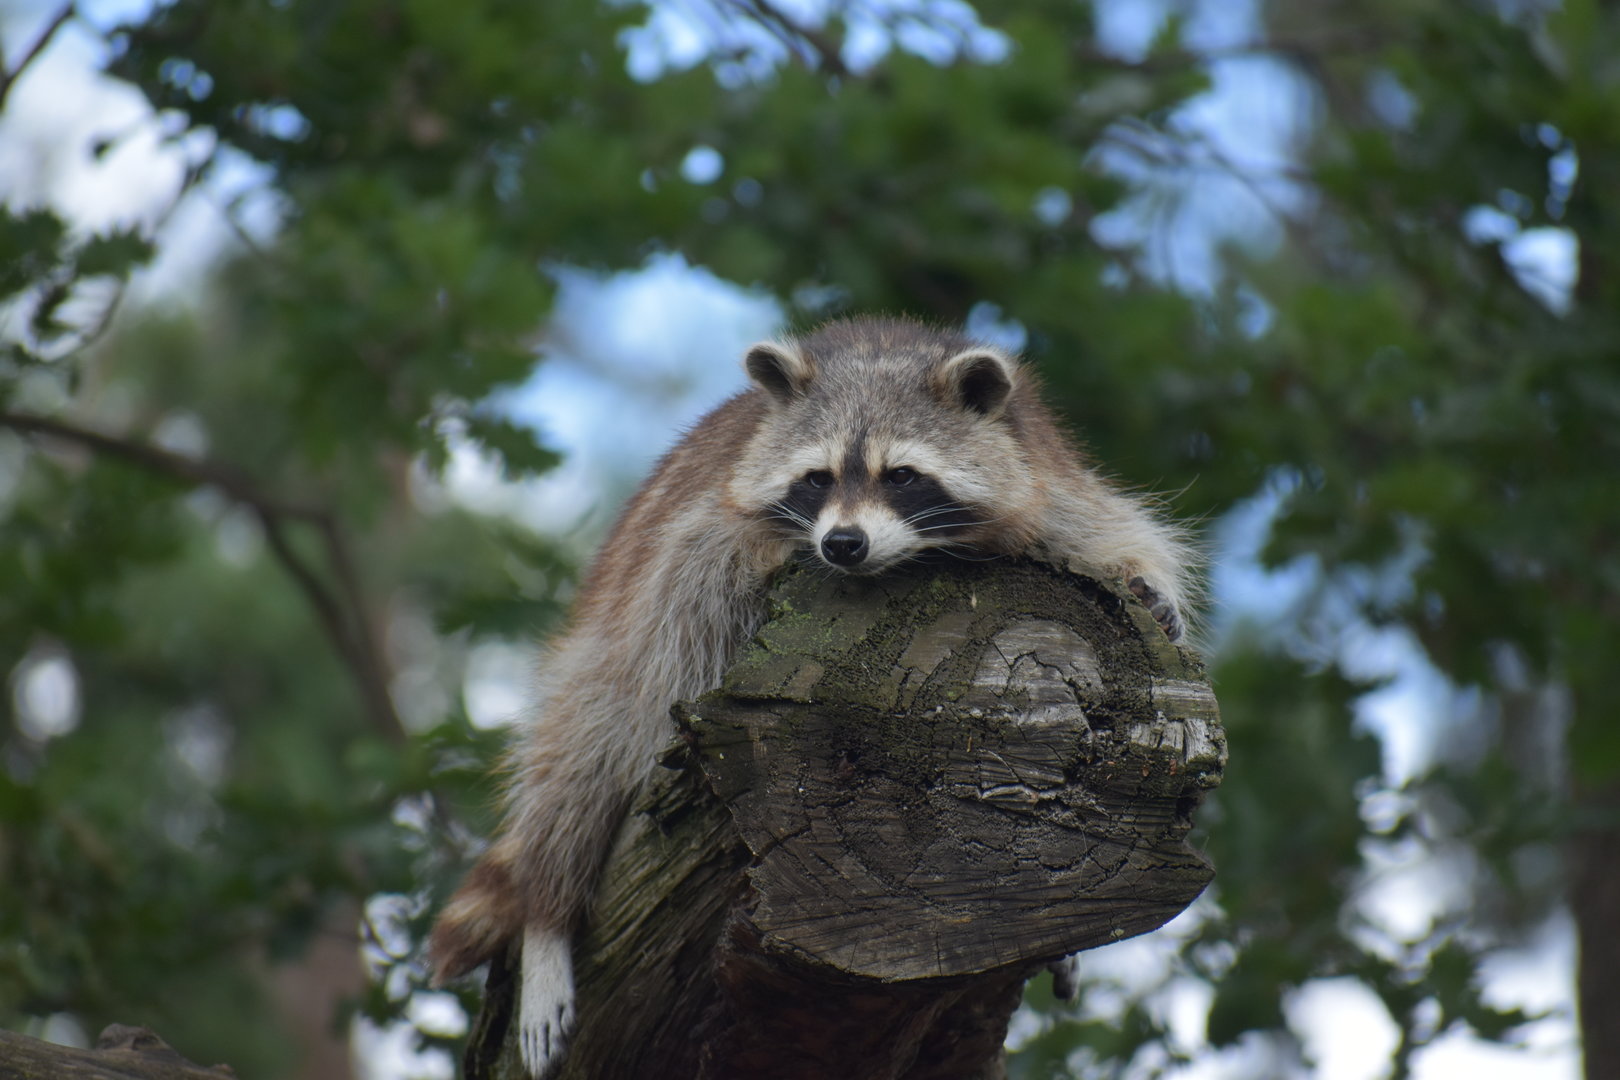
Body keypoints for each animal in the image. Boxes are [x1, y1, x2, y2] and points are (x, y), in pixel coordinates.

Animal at [429, 316, 1195, 1076]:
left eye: (902, 476)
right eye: (817, 478)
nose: (842, 544)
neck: (880, 352)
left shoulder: (1046, 469)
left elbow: (1110, 529)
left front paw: (1149, 583)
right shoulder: (705, 525)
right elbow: (696, 590)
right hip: (598, 659)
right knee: (578, 766)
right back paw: (546, 919)